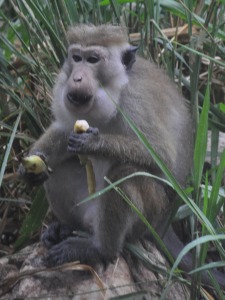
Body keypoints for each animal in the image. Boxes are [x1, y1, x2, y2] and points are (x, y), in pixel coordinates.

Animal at [19, 24, 225, 288]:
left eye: (93, 60)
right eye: (76, 58)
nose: (77, 77)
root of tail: (163, 224)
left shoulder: (135, 103)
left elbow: (161, 156)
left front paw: (95, 143)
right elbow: (64, 131)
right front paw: (32, 165)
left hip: (147, 217)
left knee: (126, 174)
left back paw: (98, 249)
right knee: (58, 172)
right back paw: (65, 228)